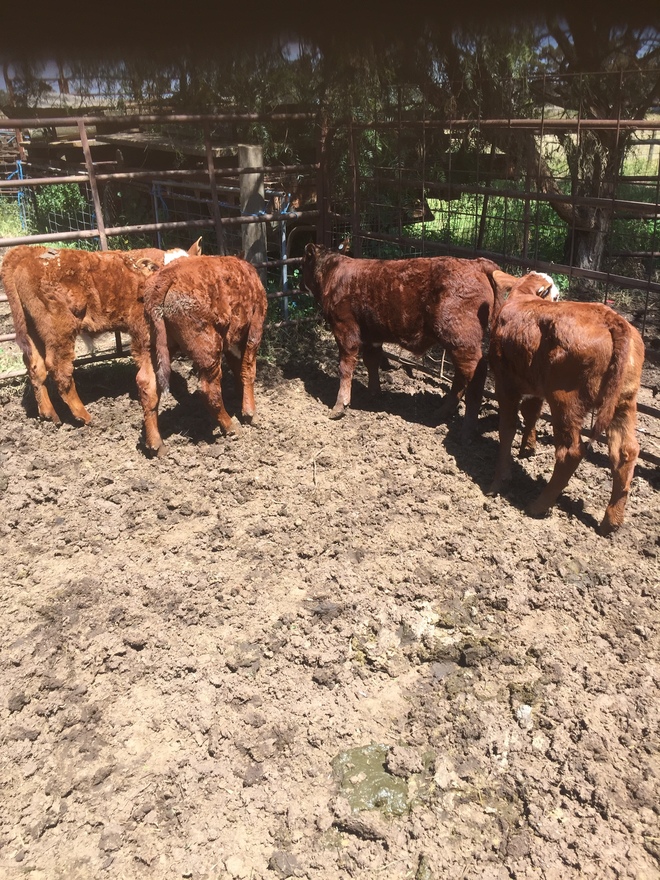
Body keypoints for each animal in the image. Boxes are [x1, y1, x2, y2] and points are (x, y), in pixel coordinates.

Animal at [1, 239, 201, 454]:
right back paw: (84, 416)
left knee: (35, 366)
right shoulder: (143, 334)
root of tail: (27, 251)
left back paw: (48, 413)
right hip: (58, 329)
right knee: (59, 369)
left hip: (31, 328)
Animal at [143, 255, 267, 447]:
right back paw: (231, 427)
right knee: (209, 389)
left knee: (146, 383)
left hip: (154, 345)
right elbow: (247, 370)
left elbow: (238, 368)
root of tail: (167, 274)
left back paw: (156, 444)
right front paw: (250, 413)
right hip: (208, 350)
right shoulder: (255, 327)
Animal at [301, 243, 502, 438]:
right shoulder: (372, 335)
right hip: (457, 344)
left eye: (303, 263)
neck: (333, 273)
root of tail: (476, 263)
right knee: (461, 375)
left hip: (461, 340)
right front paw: (374, 392)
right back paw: (442, 412)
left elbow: (345, 367)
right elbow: (371, 362)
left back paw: (467, 428)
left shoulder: (345, 328)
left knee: (475, 375)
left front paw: (339, 406)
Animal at [487, 269, 645, 536]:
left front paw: (499, 478)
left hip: (565, 400)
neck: (523, 297)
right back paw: (611, 521)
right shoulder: (534, 387)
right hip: (624, 402)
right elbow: (531, 413)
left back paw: (538, 505)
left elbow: (507, 427)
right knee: (625, 452)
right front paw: (528, 447)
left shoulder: (505, 383)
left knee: (570, 452)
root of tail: (613, 320)